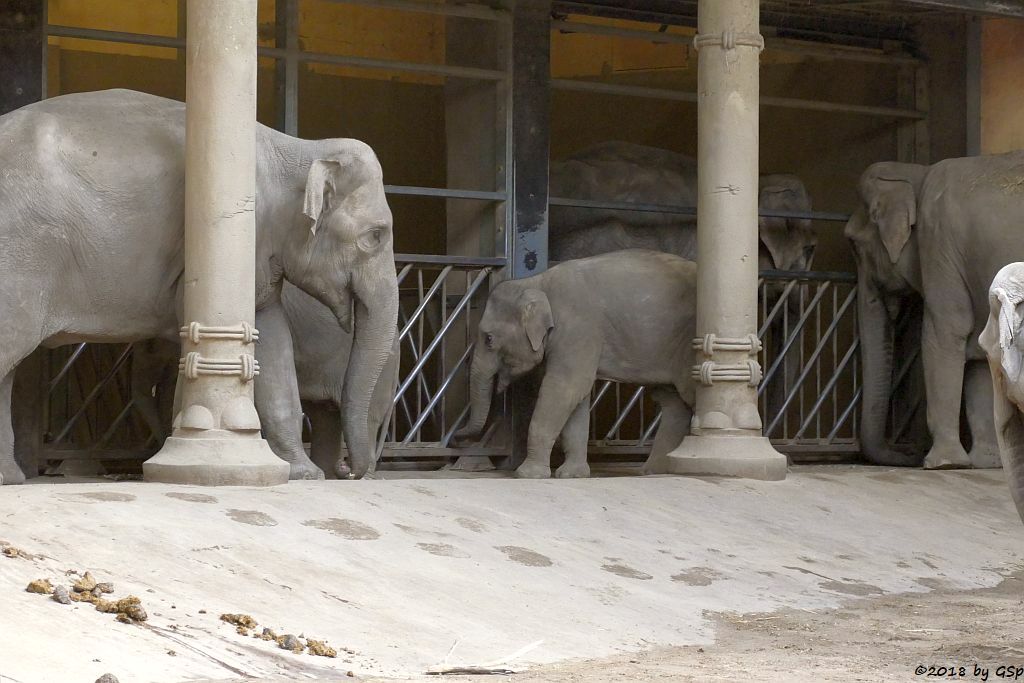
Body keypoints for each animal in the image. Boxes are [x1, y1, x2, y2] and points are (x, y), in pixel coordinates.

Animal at [0, 89, 397, 485]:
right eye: (375, 236)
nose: (349, 473)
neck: (297, 148)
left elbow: (270, 336)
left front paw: (304, 475)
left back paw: (11, 478)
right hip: (21, 254)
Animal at [454, 250, 696, 481]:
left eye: (489, 339)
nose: (457, 438)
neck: (537, 282)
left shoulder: (578, 329)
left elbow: (564, 388)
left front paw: (527, 475)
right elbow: (577, 398)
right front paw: (572, 475)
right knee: (672, 402)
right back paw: (655, 471)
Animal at [843, 156, 1024, 471]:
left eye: (854, 244)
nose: (908, 453)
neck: (916, 173)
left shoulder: (938, 244)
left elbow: (945, 332)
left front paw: (945, 464)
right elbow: (980, 349)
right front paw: (984, 463)